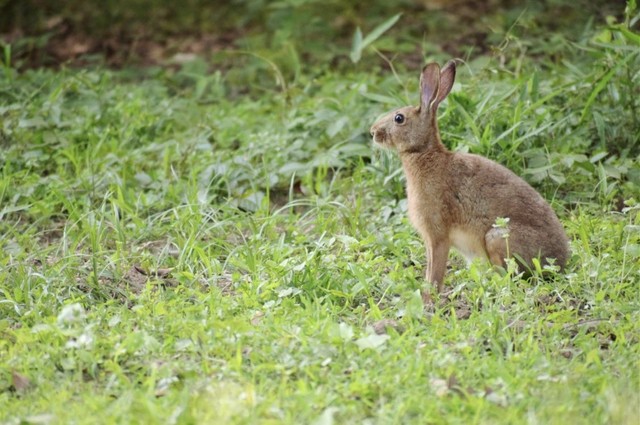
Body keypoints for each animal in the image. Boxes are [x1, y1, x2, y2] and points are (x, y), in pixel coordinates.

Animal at [370, 60, 570, 300]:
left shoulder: (437, 235)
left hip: (496, 237)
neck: (424, 153)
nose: (372, 132)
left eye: (399, 118)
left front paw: (429, 299)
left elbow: (434, 272)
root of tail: (560, 261)